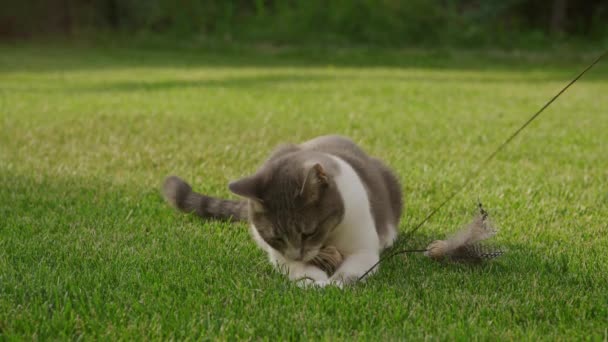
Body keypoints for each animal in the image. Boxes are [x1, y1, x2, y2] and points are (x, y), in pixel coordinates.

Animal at [163, 135, 404, 288]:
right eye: (276, 237)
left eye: (309, 232)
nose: (297, 253)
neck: (329, 238)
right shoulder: (282, 257)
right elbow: (298, 269)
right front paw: (316, 283)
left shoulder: (362, 249)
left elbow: (352, 270)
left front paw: (336, 283)